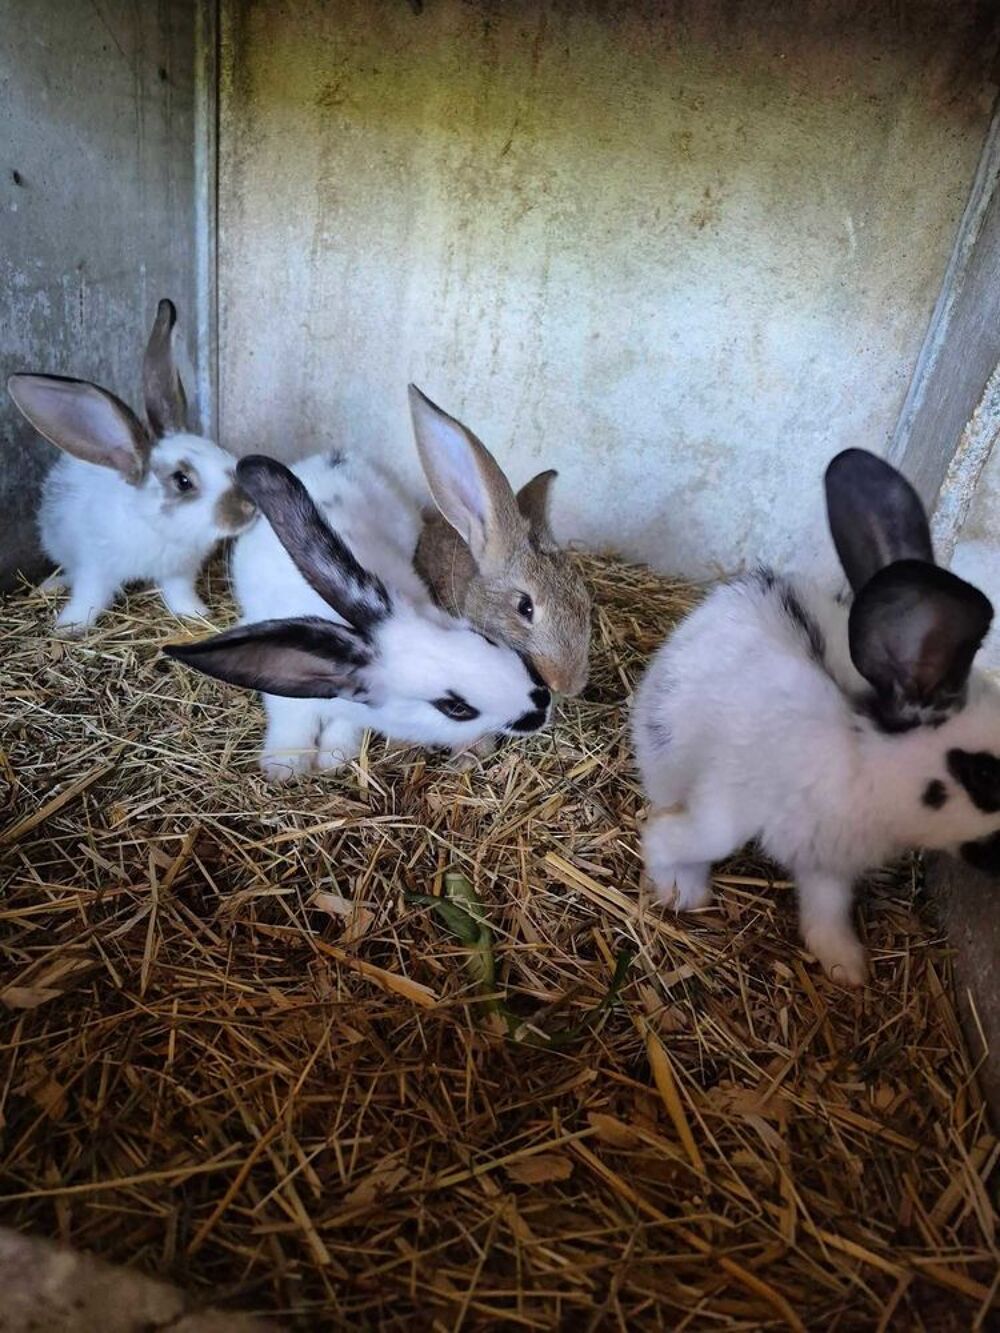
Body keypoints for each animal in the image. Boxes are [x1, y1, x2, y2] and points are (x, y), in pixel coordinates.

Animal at [7, 299, 257, 632]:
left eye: (223, 451)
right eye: (183, 481)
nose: (249, 507)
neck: (152, 526)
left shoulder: (179, 572)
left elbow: (179, 594)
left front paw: (195, 613)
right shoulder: (95, 568)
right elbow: (89, 597)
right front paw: (70, 626)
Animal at [163, 449, 553, 781]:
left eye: (485, 639)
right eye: (455, 708)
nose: (541, 702)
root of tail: (338, 456)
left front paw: (333, 759)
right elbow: (291, 720)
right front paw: (285, 766)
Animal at [632, 446, 1000, 987]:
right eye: (984, 774)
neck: (859, 766)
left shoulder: (829, 866)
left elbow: (827, 911)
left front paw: (847, 967)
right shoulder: (728, 806)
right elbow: (689, 839)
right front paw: (679, 887)